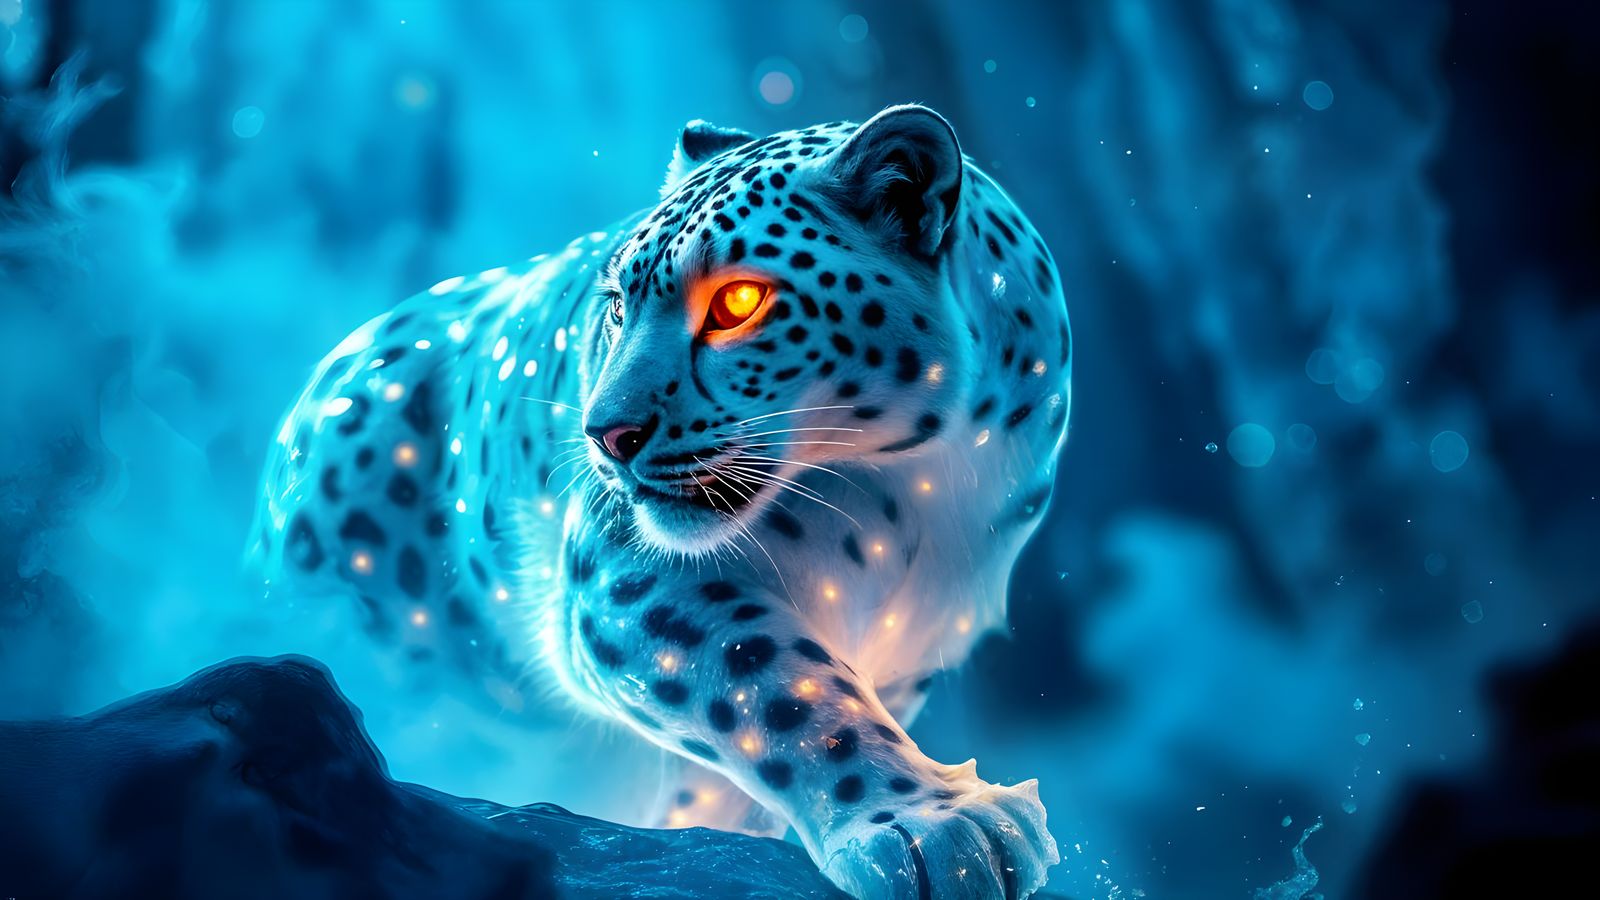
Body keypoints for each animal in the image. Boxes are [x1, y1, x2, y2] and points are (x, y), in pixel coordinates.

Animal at [252, 104, 1071, 899]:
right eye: (618, 305)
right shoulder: (626, 582)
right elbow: (785, 688)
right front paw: (933, 825)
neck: (926, 491)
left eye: (739, 300)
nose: (606, 433)